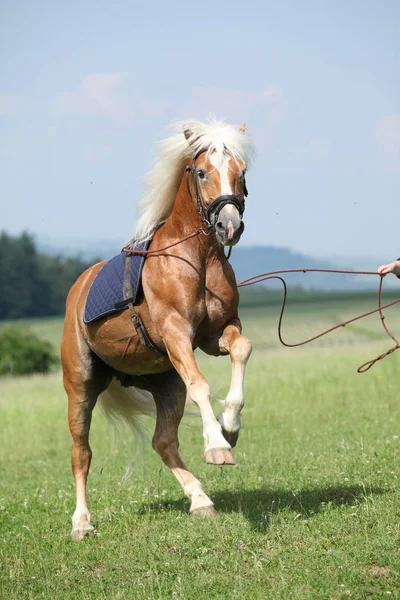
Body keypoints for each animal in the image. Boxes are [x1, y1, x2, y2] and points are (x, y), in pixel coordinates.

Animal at [61, 117, 256, 540]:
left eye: (242, 172)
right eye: (201, 172)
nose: (229, 226)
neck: (195, 259)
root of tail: (77, 290)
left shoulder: (215, 334)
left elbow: (242, 349)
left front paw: (230, 426)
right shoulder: (176, 334)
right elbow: (201, 385)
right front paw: (217, 445)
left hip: (166, 383)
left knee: (163, 442)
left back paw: (200, 500)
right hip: (81, 385)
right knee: (81, 452)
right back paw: (82, 523)